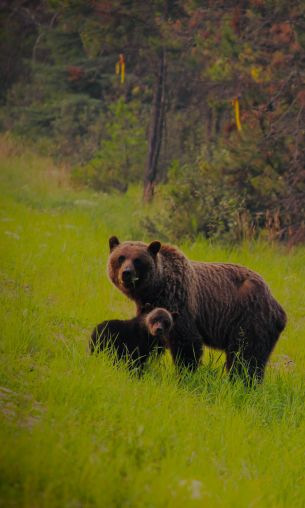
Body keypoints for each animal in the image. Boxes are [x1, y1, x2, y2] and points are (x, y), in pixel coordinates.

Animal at [107, 236, 288, 382]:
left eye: (138, 260)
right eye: (121, 257)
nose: (126, 273)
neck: (155, 289)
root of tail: (278, 307)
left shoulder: (179, 302)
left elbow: (186, 342)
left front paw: (184, 375)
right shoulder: (149, 309)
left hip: (249, 320)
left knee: (247, 357)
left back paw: (241, 383)